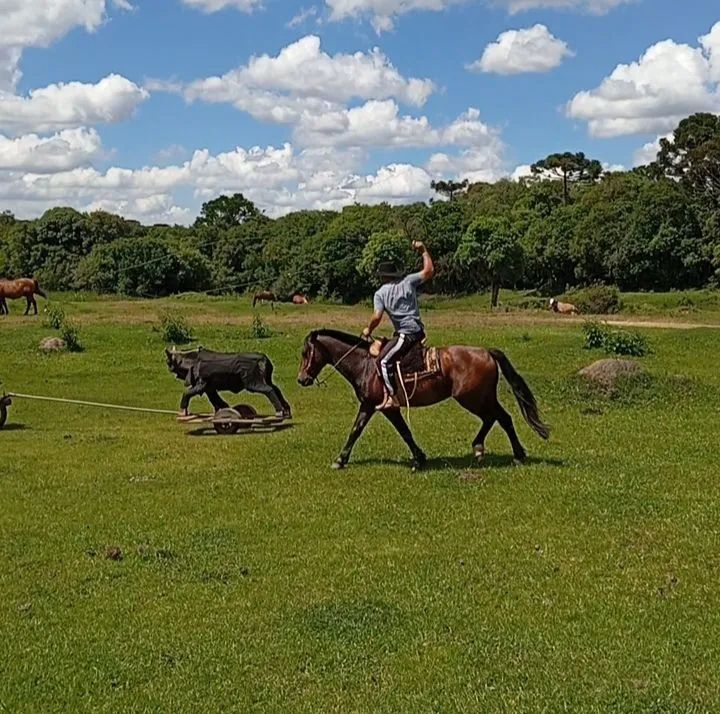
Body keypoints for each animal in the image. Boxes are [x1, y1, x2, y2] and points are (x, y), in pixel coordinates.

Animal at [297, 329, 549, 470]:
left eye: (305, 352)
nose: (301, 379)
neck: (366, 364)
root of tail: (486, 352)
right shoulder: (376, 407)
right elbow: (399, 431)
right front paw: (419, 457)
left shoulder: (378, 406)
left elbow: (360, 431)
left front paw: (340, 460)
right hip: (478, 398)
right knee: (492, 419)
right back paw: (479, 448)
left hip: (474, 398)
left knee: (503, 418)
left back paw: (517, 455)